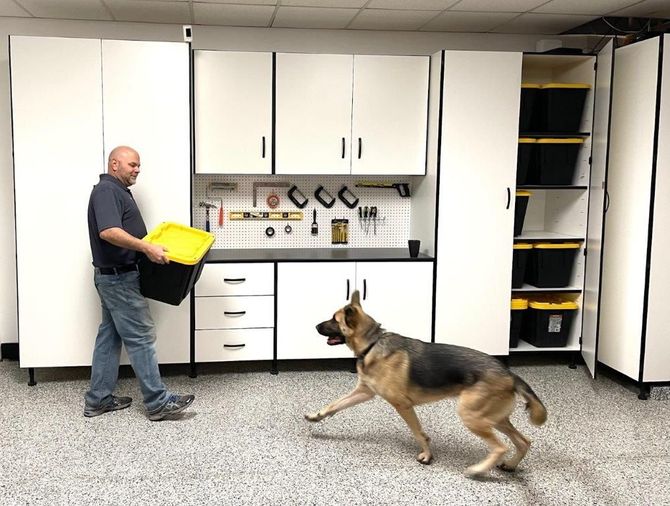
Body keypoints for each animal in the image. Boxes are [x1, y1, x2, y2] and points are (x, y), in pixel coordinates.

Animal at [308, 290, 548, 476]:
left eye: (334, 319)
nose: (315, 326)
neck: (372, 343)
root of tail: (509, 373)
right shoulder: (364, 392)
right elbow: (335, 404)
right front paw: (316, 416)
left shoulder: (403, 405)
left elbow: (418, 432)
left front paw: (427, 455)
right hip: (494, 418)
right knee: (524, 441)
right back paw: (510, 465)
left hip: (473, 416)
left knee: (501, 447)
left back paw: (478, 470)